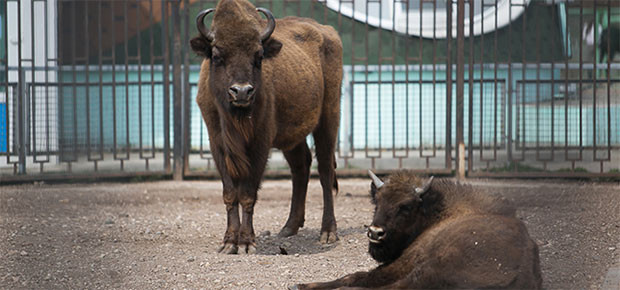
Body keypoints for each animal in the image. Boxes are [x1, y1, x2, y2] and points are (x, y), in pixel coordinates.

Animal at [190, 0, 344, 254]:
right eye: (217, 55)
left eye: (259, 55)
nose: (242, 91)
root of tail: (329, 32)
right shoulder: (218, 145)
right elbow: (230, 193)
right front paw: (229, 243)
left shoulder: (260, 145)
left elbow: (247, 193)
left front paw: (245, 243)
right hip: (293, 137)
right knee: (300, 168)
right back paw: (289, 227)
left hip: (329, 118)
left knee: (324, 171)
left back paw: (328, 233)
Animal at [294, 171, 540, 288]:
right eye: (377, 201)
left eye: (405, 207)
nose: (375, 233)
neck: (435, 214)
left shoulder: (405, 262)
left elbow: (356, 276)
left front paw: (301, 284)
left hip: (429, 271)